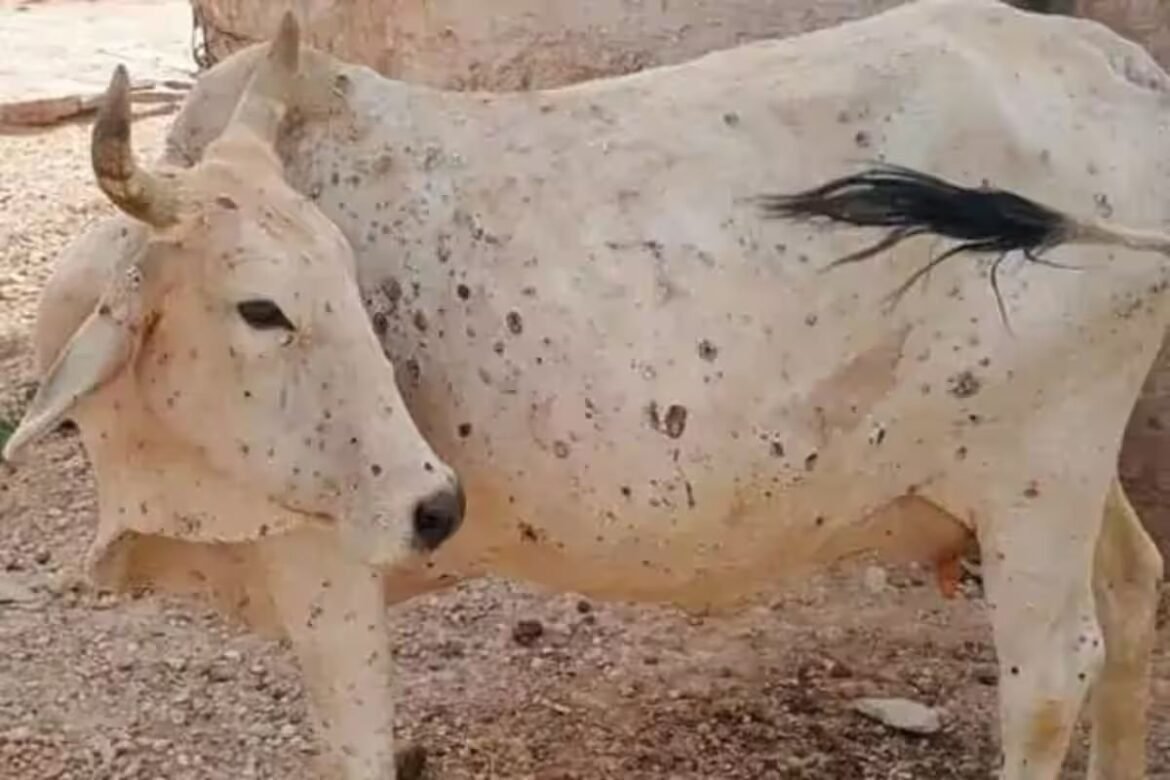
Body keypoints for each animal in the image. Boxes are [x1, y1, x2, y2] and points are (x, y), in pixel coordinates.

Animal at [5, 0, 1170, 777]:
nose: (437, 505)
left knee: (1049, 674)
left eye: (332, 286)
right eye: (263, 308)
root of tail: (1117, 62)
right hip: (1058, 467)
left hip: (1034, 475)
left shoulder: (324, 567)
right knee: (1132, 586)